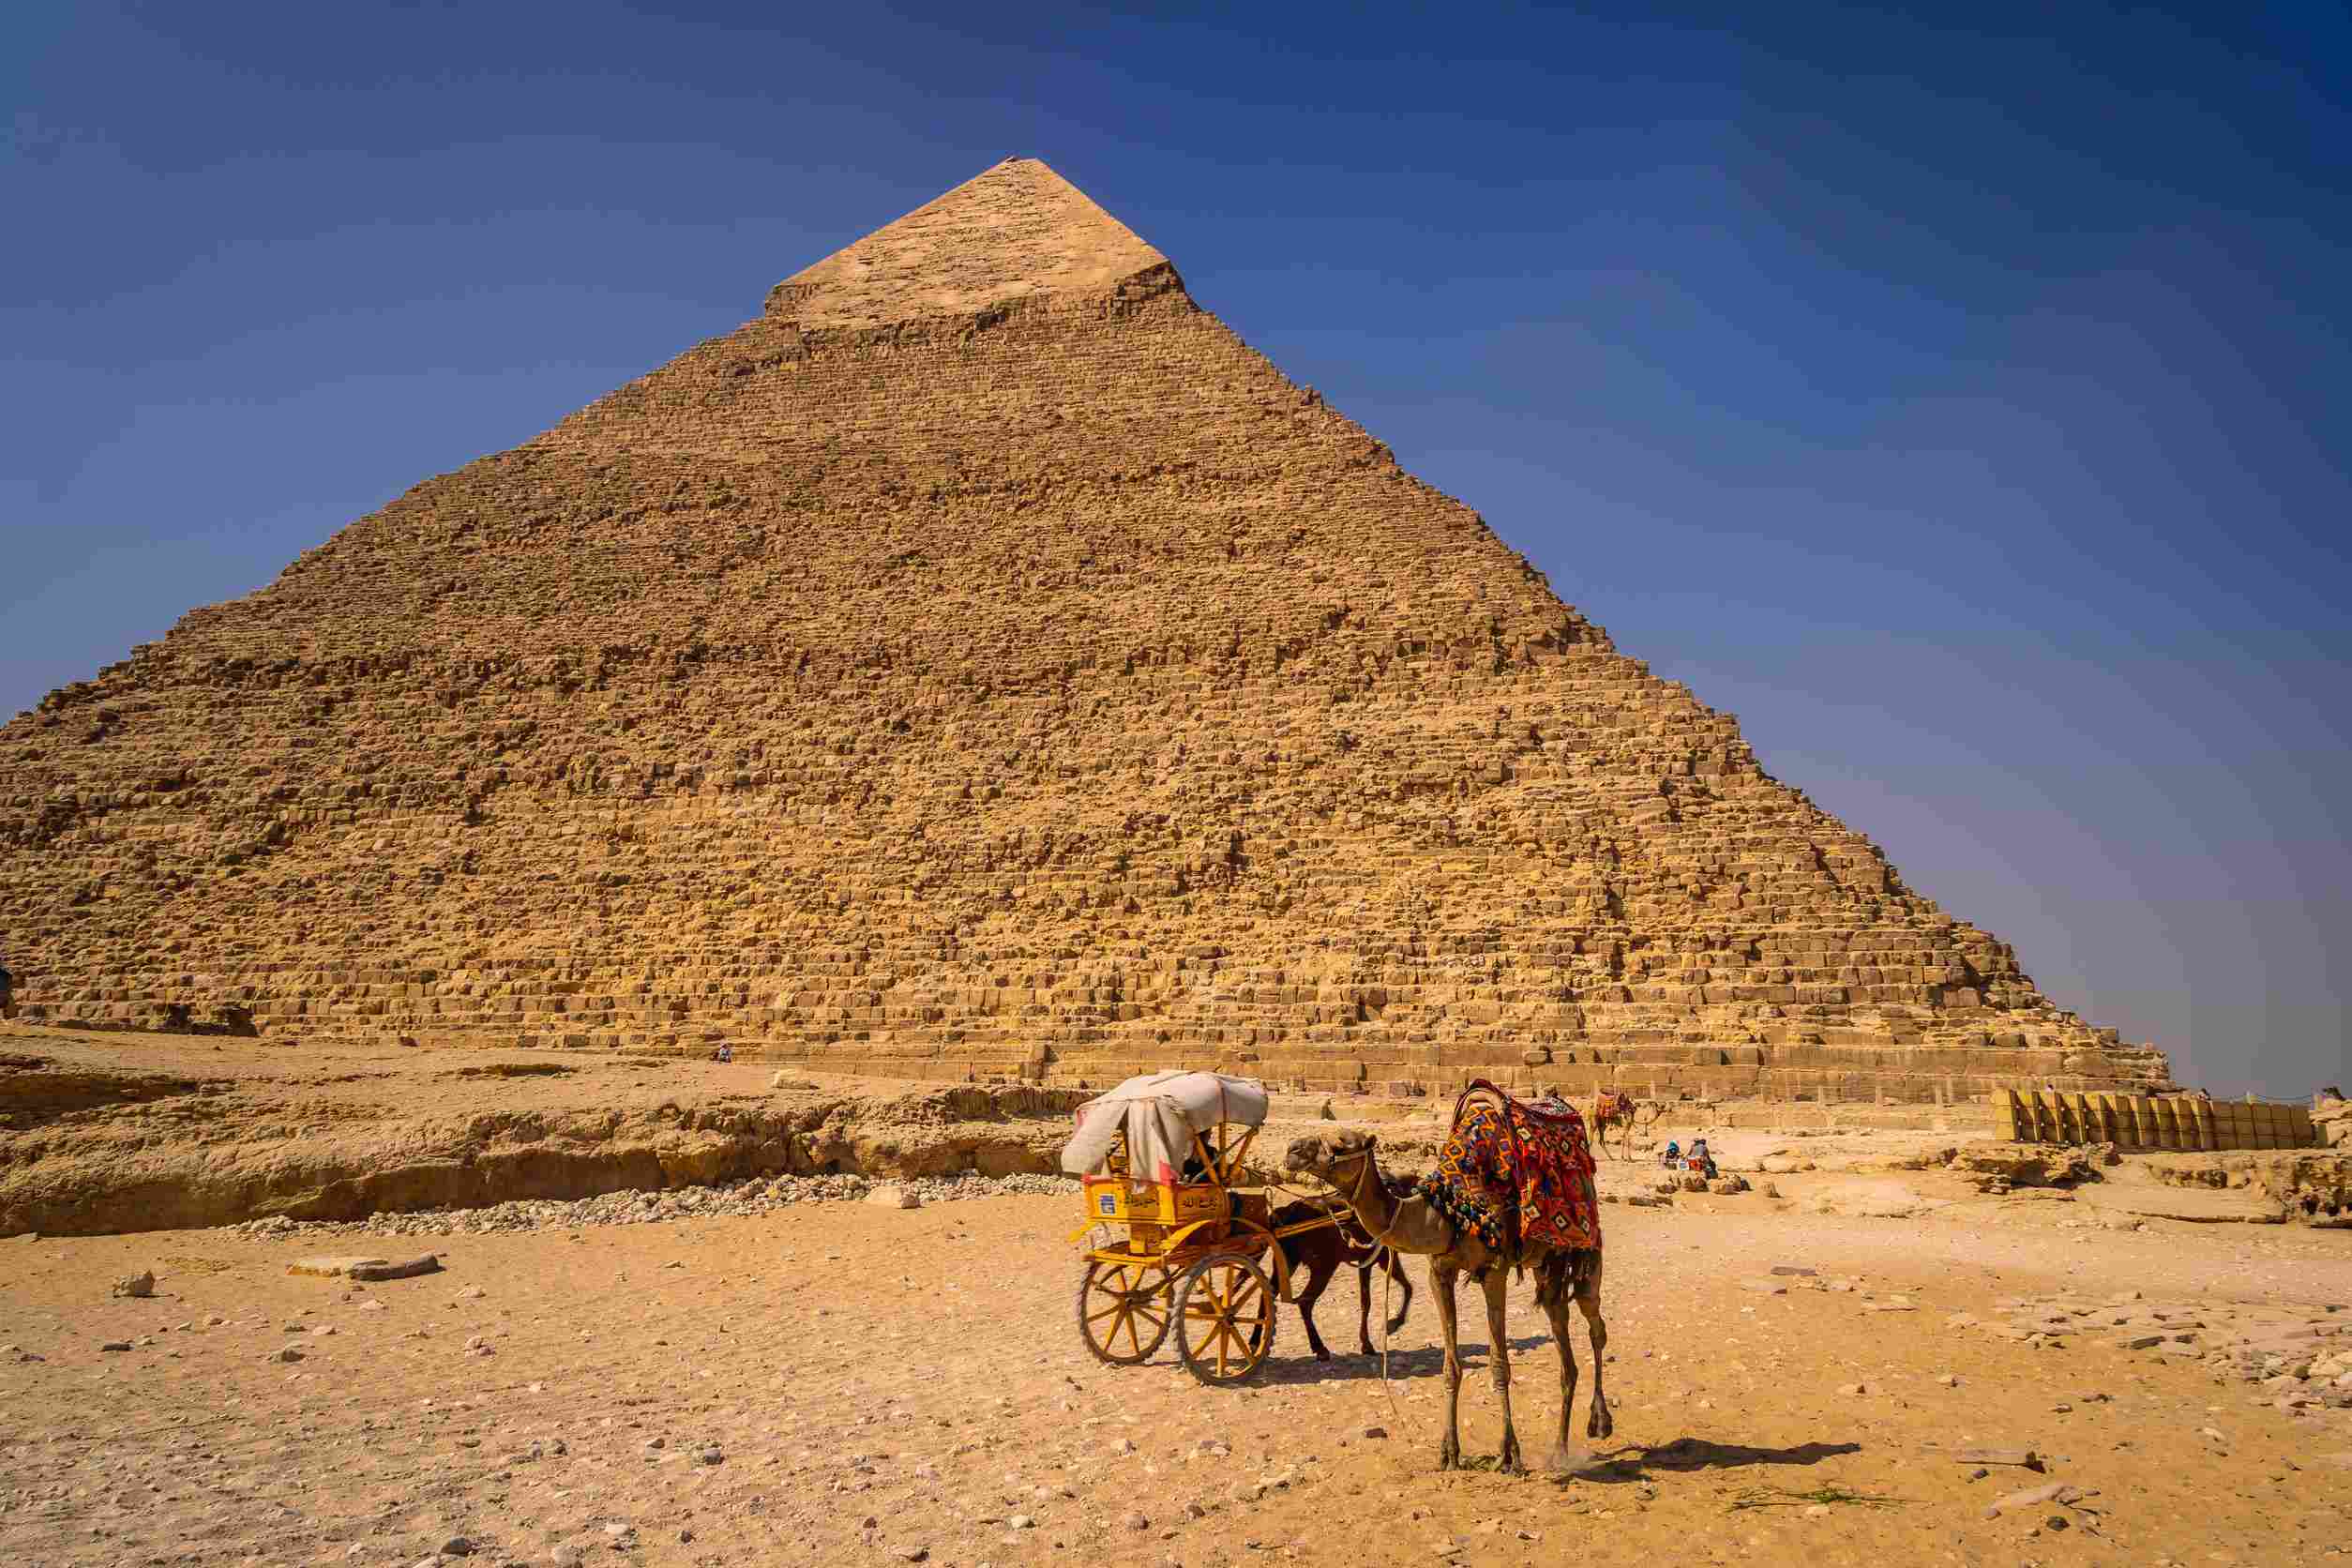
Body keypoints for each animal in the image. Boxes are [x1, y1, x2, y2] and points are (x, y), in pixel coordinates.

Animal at [1269, 1194, 1416, 1359]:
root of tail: (1287, 1212)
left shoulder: (1368, 1261)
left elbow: (1368, 1300)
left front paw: (1368, 1342)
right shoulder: (1383, 1256)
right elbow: (1405, 1289)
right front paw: (1393, 1324)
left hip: (1287, 1264)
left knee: (1269, 1296)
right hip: (1323, 1269)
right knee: (1305, 1302)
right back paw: (1320, 1348)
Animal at [1285, 1108, 1609, 1474]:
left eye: (1342, 1142)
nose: (1292, 1149)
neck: (1446, 1216)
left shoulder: (1494, 1271)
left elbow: (1499, 1363)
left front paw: (1509, 1454)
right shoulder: (1439, 1272)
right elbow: (1450, 1367)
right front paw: (1449, 1453)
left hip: (1587, 1253)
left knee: (1596, 1326)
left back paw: (1599, 1423)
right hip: (1548, 1268)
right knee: (1564, 1343)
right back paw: (1559, 1451)